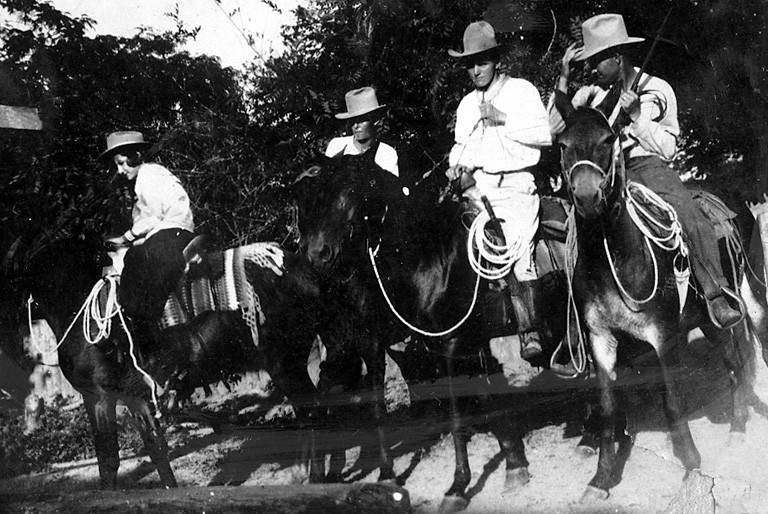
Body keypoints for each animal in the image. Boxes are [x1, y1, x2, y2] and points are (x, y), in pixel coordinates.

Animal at [23, 234, 356, 486]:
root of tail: (303, 270)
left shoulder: (99, 398)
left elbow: (110, 460)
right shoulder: (134, 397)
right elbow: (153, 449)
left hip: (285, 364)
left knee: (312, 413)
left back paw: (315, 477)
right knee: (318, 407)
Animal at [294, 153, 568, 512]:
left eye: (350, 191)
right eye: (309, 201)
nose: (317, 254)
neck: (427, 257)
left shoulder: (445, 346)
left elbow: (455, 413)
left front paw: (456, 486)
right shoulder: (426, 347)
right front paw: (513, 462)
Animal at [552, 94, 760, 498]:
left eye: (607, 139)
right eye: (564, 145)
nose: (586, 197)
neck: (613, 257)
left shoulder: (663, 337)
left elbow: (673, 401)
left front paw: (692, 465)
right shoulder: (600, 339)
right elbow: (607, 408)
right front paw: (601, 478)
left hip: (730, 307)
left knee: (739, 358)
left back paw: (740, 427)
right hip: (707, 322)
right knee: (732, 360)